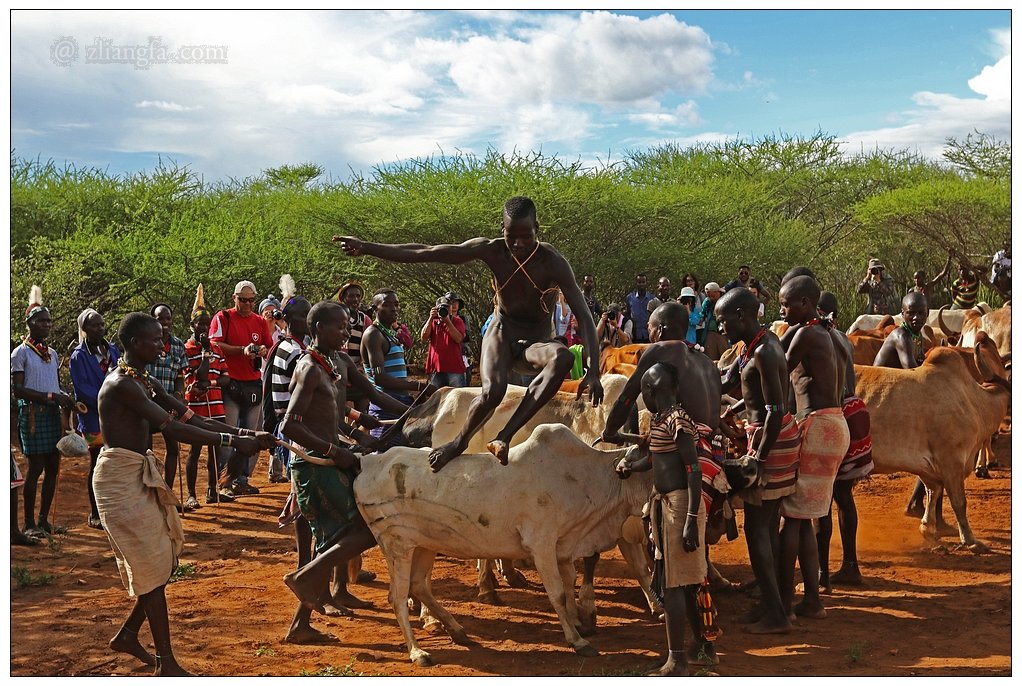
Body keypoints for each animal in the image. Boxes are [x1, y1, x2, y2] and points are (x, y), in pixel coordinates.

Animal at [355, 423, 649, 666]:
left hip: (425, 544)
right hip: (397, 546)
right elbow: (557, 593)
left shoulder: (564, 546)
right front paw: (577, 640)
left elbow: (570, 583)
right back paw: (417, 652)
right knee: (397, 597)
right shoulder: (541, 543)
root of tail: (368, 462)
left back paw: (457, 630)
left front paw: (577, 621)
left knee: (419, 585)